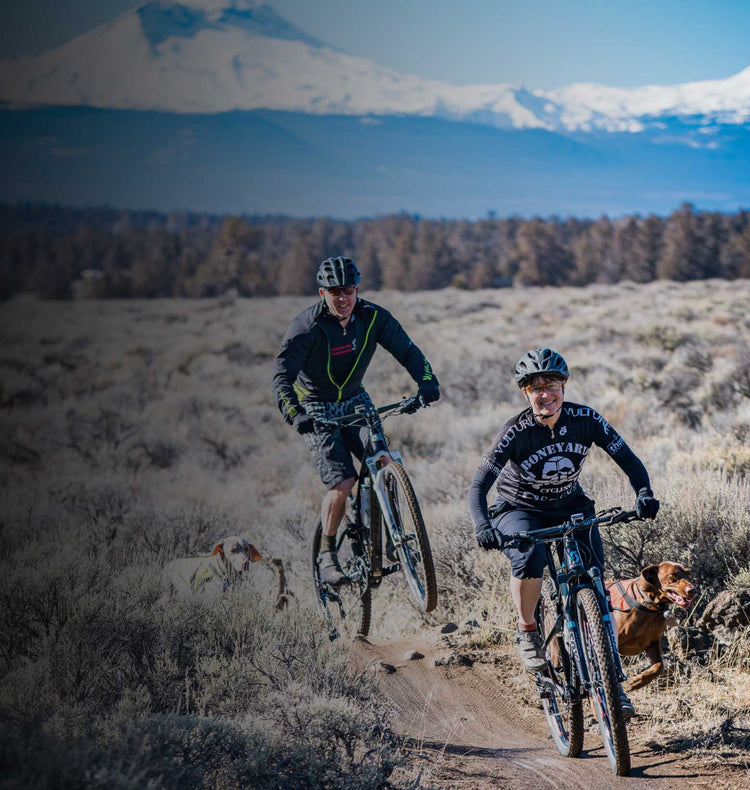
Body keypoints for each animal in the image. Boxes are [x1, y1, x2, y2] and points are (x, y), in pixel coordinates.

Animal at [604, 564, 700, 692]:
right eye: (672, 575)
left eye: (689, 575)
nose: (693, 590)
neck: (649, 606)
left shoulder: (652, 643)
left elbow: (660, 666)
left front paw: (639, 682)